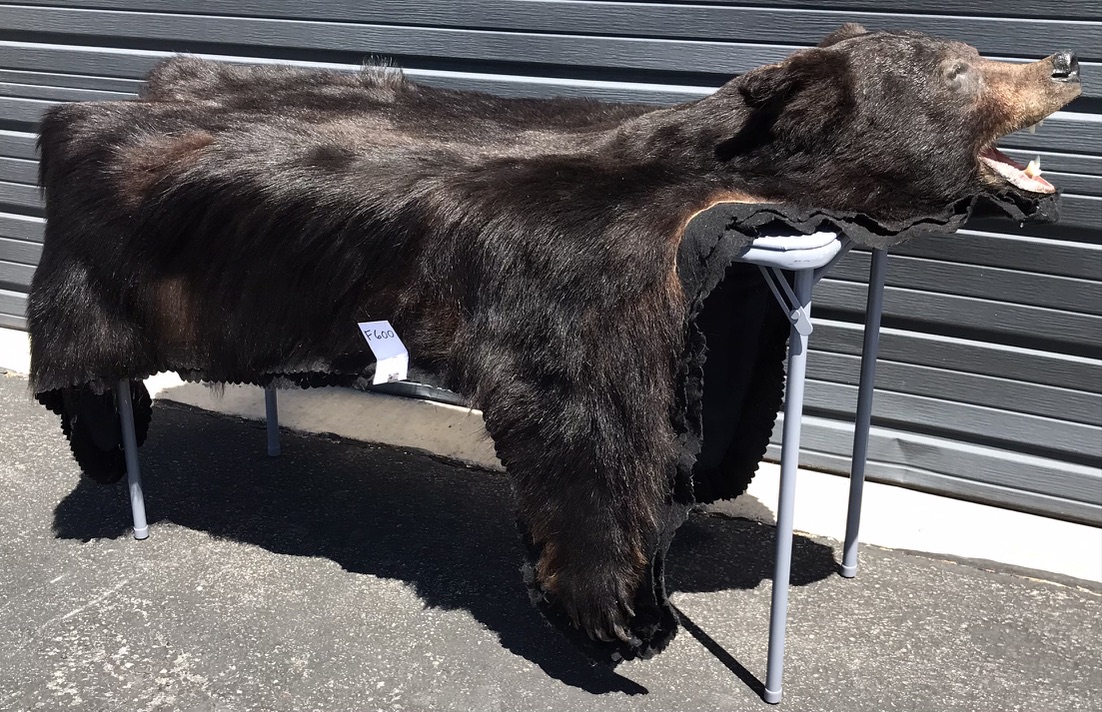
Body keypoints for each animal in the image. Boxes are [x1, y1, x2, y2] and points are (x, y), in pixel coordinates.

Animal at [28, 24, 1080, 662]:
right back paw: (113, 462)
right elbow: (592, 424)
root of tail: (88, 105)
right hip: (97, 274)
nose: (1065, 60)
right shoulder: (594, 279)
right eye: (959, 69)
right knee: (88, 375)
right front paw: (621, 607)